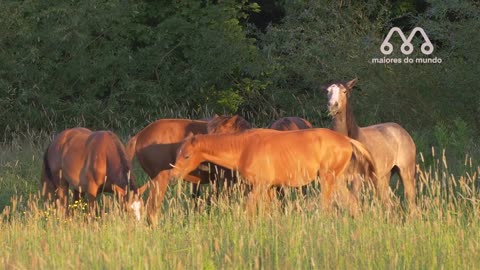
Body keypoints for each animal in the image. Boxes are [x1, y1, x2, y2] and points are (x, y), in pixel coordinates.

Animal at [171, 127, 376, 216]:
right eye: (178, 152)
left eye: (187, 156)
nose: (174, 176)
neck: (245, 147)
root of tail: (347, 140)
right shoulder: (269, 187)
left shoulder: (260, 186)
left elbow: (249, 209)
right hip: (336, 179)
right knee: (353, 203)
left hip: (327, 179)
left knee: (326, 205)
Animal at [322, 78, 416, 207]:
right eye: (327, 91)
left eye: (344, 91)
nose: (332, 106)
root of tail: (402, 131)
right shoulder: (337, 178)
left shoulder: (357, 179)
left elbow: (354, 201)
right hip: (383, 177)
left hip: (406, 172)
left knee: (410, 201)